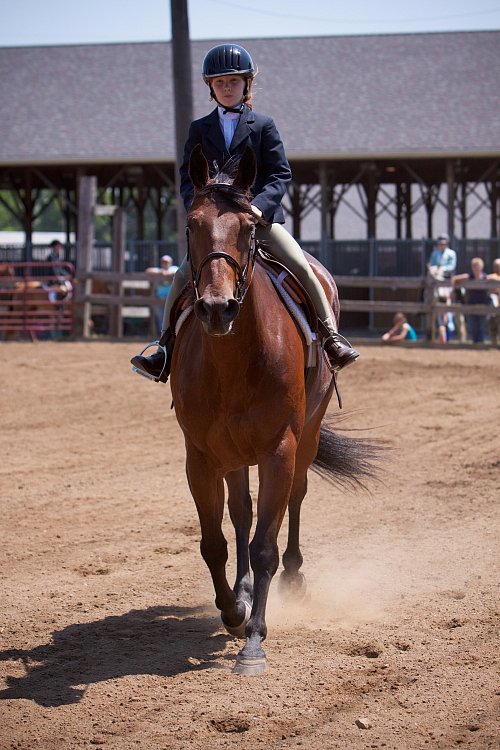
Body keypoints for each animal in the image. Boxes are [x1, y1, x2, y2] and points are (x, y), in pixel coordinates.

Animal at [171, 145, 376, 676]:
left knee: (295, 500)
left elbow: (265, 544)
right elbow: (215, 541)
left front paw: (254, 641)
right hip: (233, 452)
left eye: (249, 227)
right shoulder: (200, 456)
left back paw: (294, 578)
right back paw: (243, 591)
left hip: (306, 436)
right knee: (241, 512)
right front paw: (233, 611)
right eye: (192, 225)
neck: (232, 360)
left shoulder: (279, 448)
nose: (216, 308)